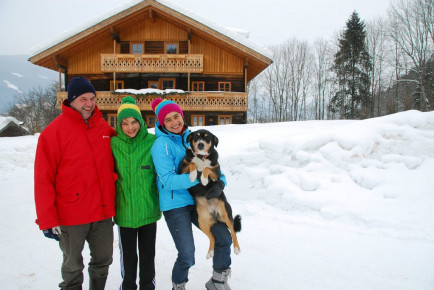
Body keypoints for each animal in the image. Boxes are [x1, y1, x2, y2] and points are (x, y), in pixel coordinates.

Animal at [179, 129, 241, 258]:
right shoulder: (181, 169)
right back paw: (210, 252)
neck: (202, 157)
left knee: (233, 232)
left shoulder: (216, 172)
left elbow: (207, 169)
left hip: (226, 213)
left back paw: (237, 248)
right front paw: (193, 175)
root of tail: (214, 213)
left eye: (207, 138)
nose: (200, 144)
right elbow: (192, 164)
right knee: (212, 238)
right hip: (202, 222)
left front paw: (203, 179)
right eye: (196, 137)